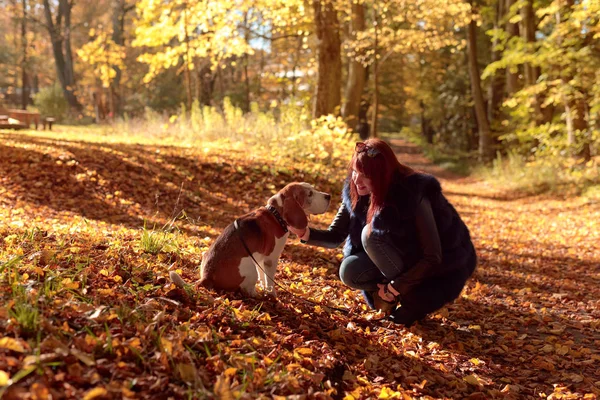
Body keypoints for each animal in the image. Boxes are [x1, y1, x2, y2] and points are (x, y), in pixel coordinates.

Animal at [169, 182, 330, 296]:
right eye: (310, 194)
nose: (328, 196)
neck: (275, 214)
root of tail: (207, 277)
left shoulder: (260, 257)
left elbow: (263, 276)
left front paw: (264, 288)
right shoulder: (271, 258)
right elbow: (269, 279)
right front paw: (272, 294)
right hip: (250, 266)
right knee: (246, 290)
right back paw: (255, 294)